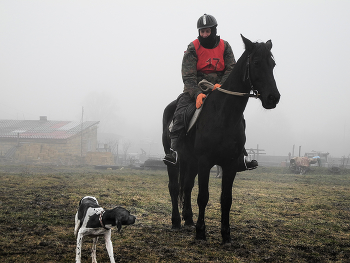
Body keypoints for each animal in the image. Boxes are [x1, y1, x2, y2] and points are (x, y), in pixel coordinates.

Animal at [163, 35, 280, 245]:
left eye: (272, 64)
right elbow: (203, 196)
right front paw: (201, 232)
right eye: (256, 63)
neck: (223, 114)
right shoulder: (205, 162)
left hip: (190, 162)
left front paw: (226, 235)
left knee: (187, 187)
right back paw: (176, 221)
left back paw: (188, 220)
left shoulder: (230, 164)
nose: (273, 98)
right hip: (175, 162)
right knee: (175, 188)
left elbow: (226, 199)